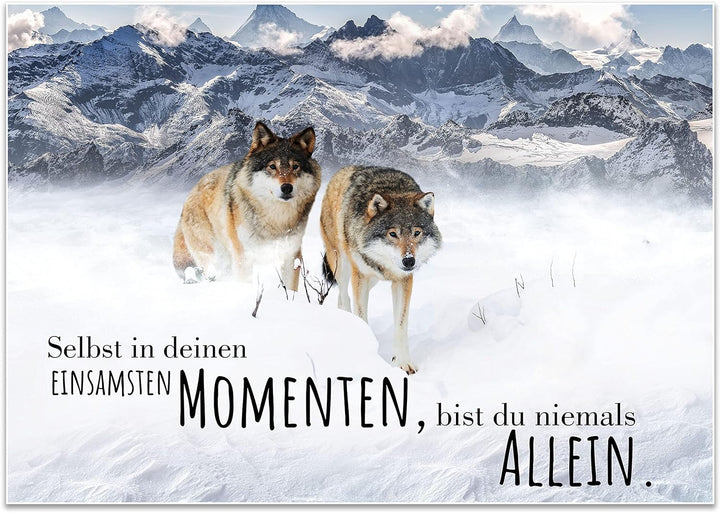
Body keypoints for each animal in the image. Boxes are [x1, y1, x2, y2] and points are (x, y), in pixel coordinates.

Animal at [173, 122, 321, 290]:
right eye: (272, 166)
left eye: (295, 166)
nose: (287, 188)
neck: (276, 219)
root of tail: (190, 192)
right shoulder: (244, 257)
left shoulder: (291, 255)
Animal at [320, 166, 441, 374]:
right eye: (392, 234)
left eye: (416, 233)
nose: (409, 261)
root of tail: (341, 171)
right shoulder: (359, 275)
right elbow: (361, 314)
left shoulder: (403, 281)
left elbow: (401, 325)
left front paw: (402, 362)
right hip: (342, 265)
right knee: (344, 297)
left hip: (371, 278)